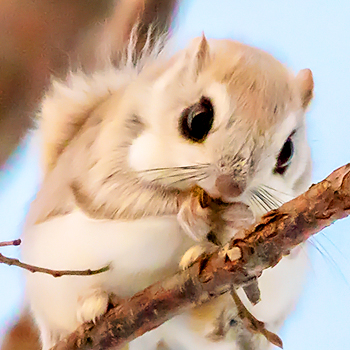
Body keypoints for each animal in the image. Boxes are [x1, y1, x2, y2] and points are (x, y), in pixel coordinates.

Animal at [18, 33, 314, 350]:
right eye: (197, 118)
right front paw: (191, 209)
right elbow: (113, 194)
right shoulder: (105, 153)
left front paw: (240, 220)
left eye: (287, 152)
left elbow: (290, 242)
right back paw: (95, 304)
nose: (230, 188)